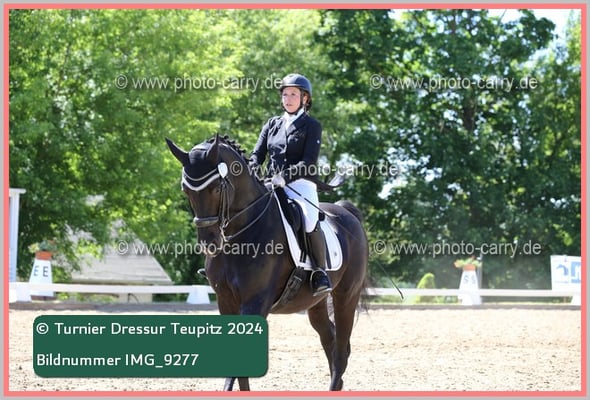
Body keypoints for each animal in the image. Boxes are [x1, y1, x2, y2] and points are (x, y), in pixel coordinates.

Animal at [166, 134, 369, 391]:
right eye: (186, 190)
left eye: (216, 188)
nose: (209, 243)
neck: (241, 232)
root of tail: (347, 212)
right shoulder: (225, 300)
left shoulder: (256, 301)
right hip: (315, 301)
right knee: (329, 339)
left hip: (346, 295)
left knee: (341, 347)